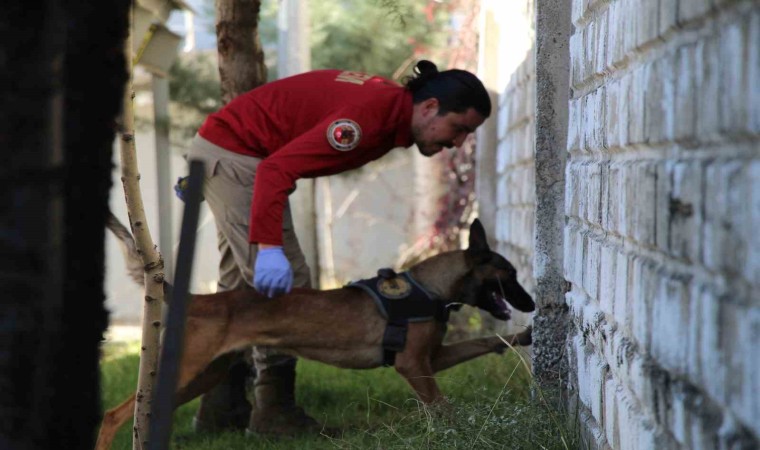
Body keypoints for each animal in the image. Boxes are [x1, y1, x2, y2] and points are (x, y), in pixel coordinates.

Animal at [96, 215, 535, 449]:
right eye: (509, 274)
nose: (531, 304)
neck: (429, 288)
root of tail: (196, 298)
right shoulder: (413, 366)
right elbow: (444, 408)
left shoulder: (434, 359)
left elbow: (486, 341)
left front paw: (524, 337)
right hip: (184, 369)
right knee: (115, 414)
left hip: (201, 375)